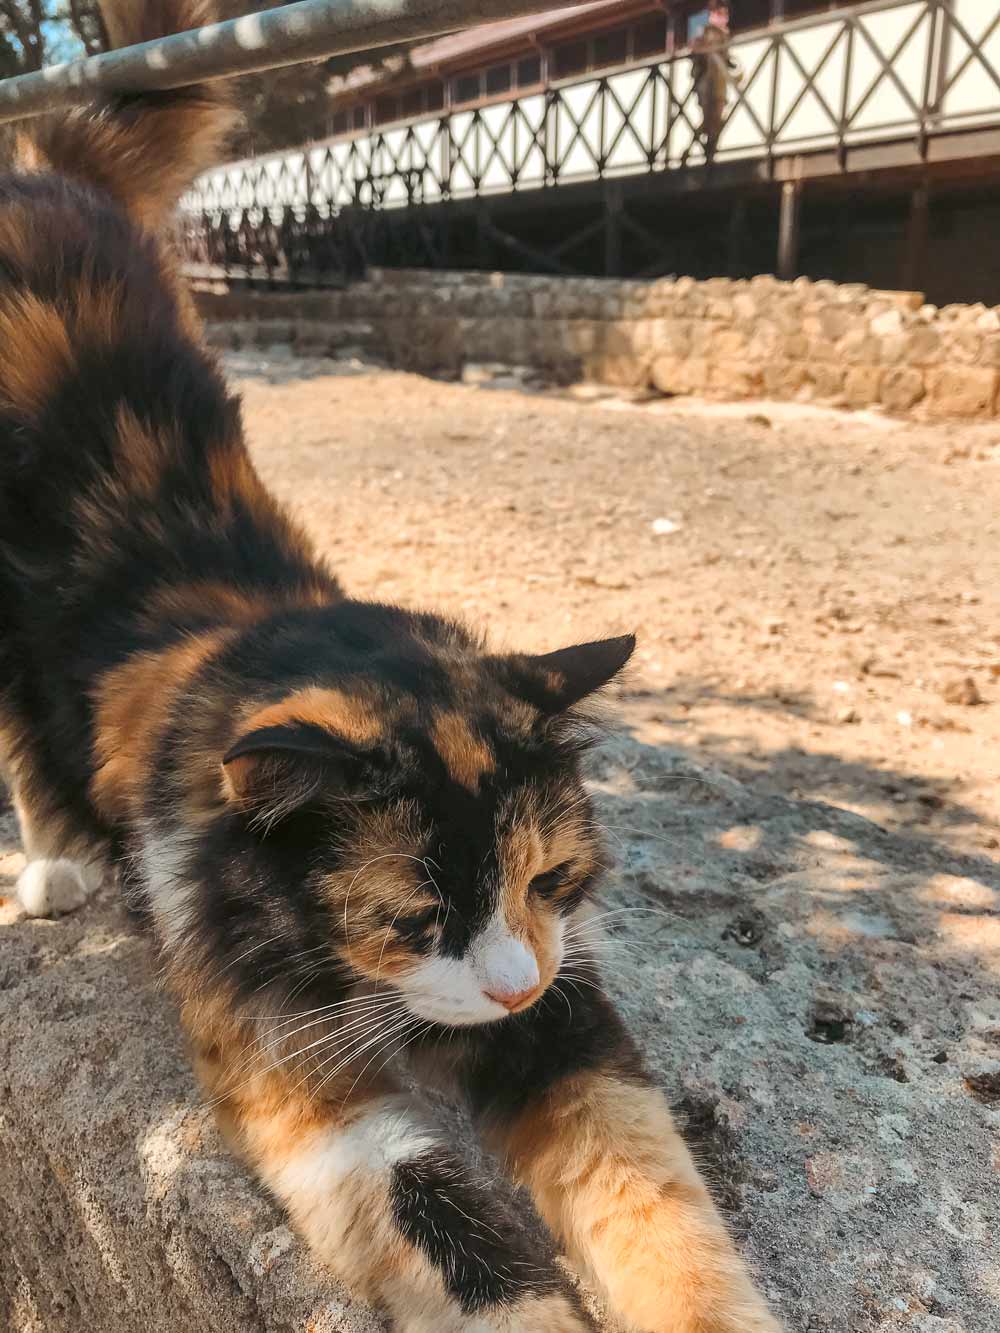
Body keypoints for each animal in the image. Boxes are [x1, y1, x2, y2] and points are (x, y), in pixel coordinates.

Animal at [0, 5, 784, 1327]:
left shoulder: (568, 1017)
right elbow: (446, 1223)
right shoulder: (295, 1074)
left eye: (552, 876)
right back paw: (55, 862)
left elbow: (655, 1200)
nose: (510, 987)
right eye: (412, 918)